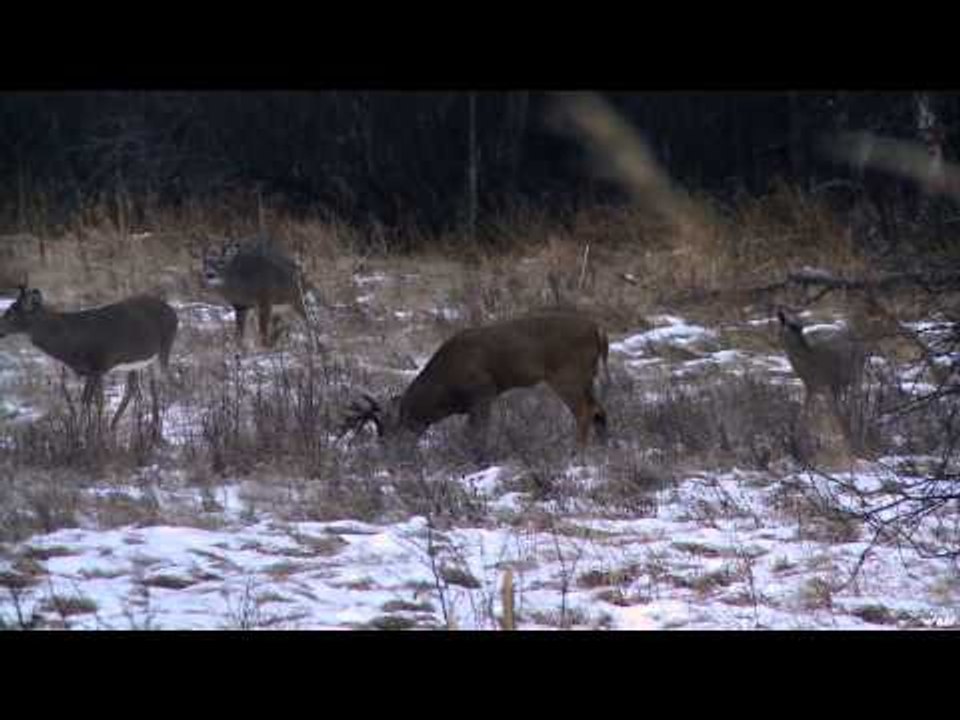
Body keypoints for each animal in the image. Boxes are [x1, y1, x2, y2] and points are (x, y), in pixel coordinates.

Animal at [0, 286, 179, 431]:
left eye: (10, 312)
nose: (0, 330)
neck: (70, 340)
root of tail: (173, 312)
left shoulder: (98, 366)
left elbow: (95, 402)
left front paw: (92, 435)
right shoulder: (90, 371)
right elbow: (87, 401)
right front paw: (87, 432)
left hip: (165, 345)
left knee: (161, 381)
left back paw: (156, 424)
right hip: (138, 362)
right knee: (138, 387)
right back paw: (120, 424)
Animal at [341, 311, 610, 456]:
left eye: (389, 431)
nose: (386, 455)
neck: (445, 390)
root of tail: (598, 330)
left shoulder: (483, 391)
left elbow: (476, 433)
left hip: (568, 373)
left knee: (586, 411)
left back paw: (577, 452)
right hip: (586, 375)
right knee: (599, 409)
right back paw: (604, 447)